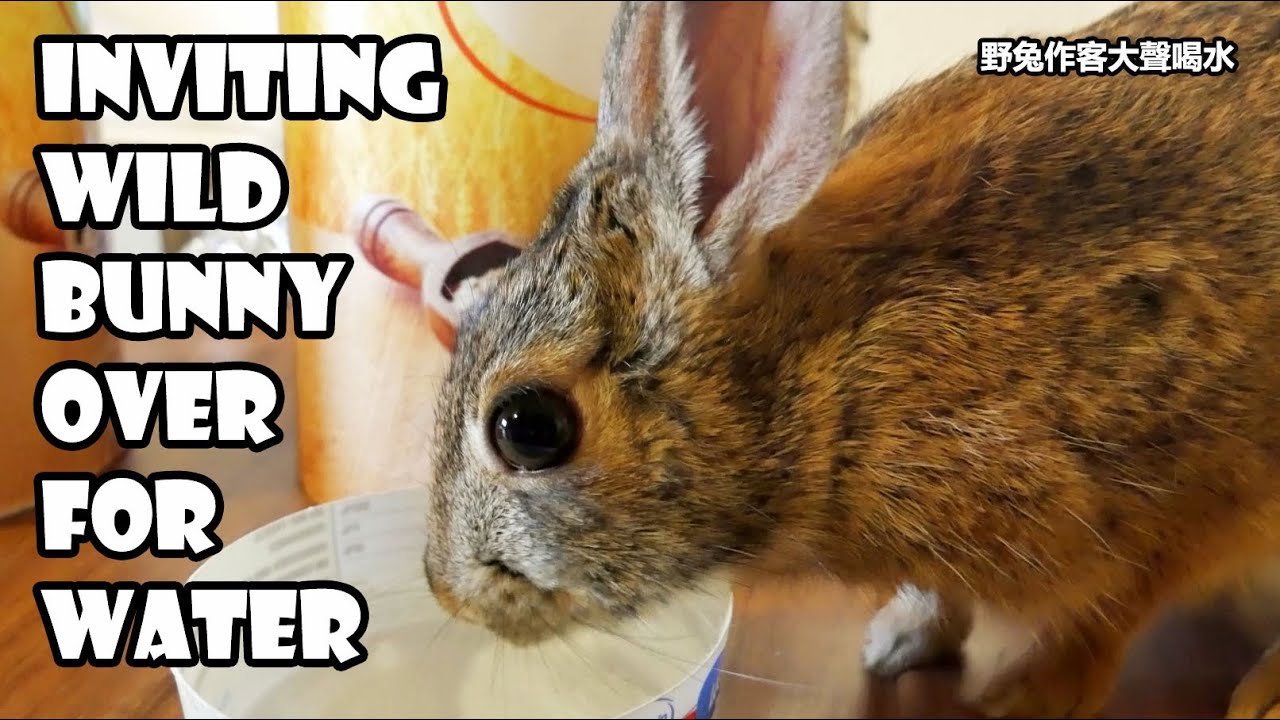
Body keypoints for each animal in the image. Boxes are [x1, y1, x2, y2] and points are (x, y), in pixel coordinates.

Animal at [421, 1, 1280, 717]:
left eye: (529, 427)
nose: (447, 593)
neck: (819, 368)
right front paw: (901, 639)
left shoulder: (1176, 498)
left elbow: (1106, 619)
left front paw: (1025, 701)